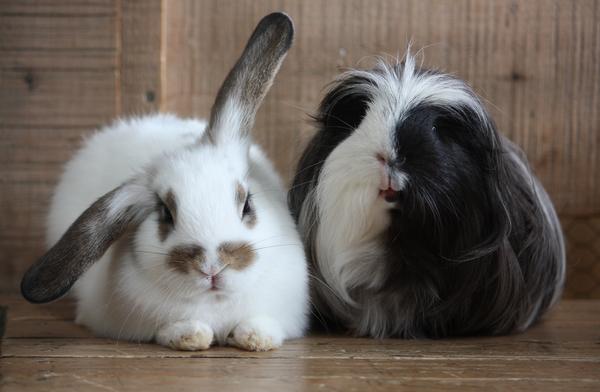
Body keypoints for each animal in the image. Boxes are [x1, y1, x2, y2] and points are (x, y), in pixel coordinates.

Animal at [20, 12, 308, 352]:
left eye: (247, 204)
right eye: (165, 214)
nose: (212, 267)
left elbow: (263, 325)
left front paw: (255, 337)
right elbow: (170, 329)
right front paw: (191, 335)